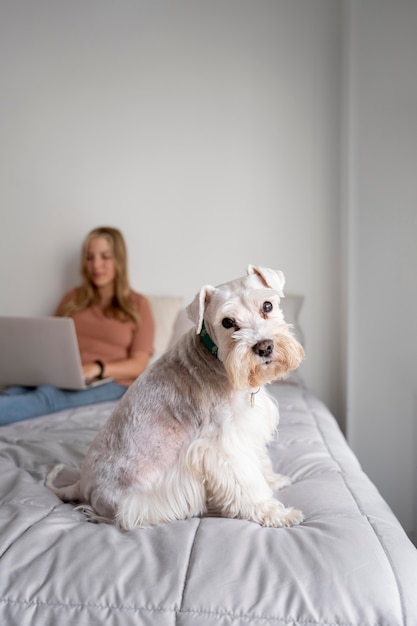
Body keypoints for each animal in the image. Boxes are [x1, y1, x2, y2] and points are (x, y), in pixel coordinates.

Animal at [47, 264, 304, 528]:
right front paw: (276, 514)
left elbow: (260, 461)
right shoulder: (223, 447)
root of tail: (82, 485)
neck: (216, 356)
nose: (264, 347)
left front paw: (274, 480)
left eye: (267, 306)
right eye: (227, 322)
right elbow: (248, 482)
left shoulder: (247, 431)